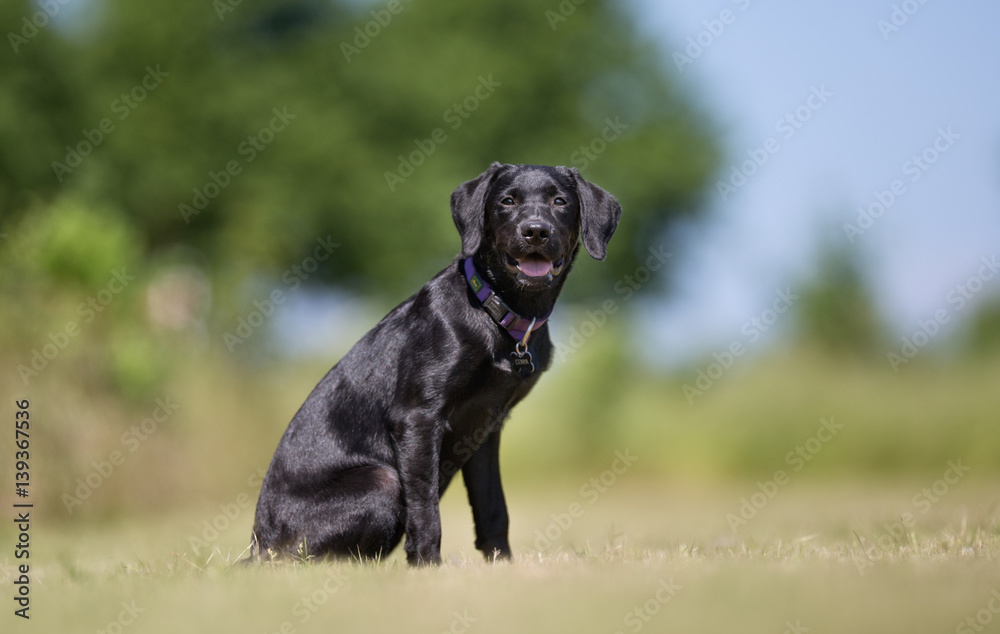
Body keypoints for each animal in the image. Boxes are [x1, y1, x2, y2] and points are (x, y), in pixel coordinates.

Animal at [252, 162, 616, 564]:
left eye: (559, 201)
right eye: (507, 201)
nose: (535, 231)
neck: (499, 315)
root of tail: (260, 545)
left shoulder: (486, 427)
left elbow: (494, 508)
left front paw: (502, 565)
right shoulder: (418, 417)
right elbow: (425, 508)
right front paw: (427, 567)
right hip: (382, 481)